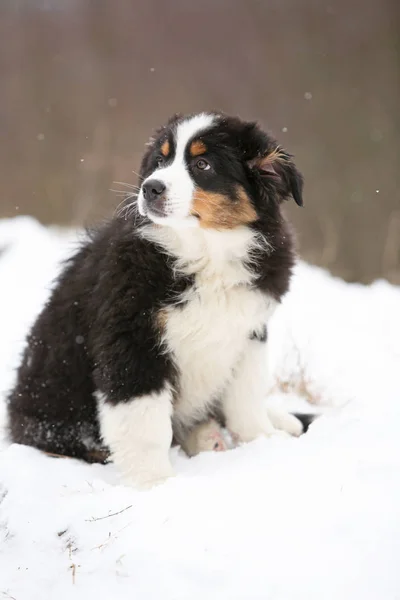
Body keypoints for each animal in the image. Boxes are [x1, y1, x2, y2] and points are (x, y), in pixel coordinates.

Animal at [7, 111, 304, 488]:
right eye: (160, 161)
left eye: (203, 164)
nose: (150, 188)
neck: (205, 251)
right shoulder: (132, 341)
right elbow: (144, 423)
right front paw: (154, 484)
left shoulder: (248, 330)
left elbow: (245, 399)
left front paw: (263, 442)